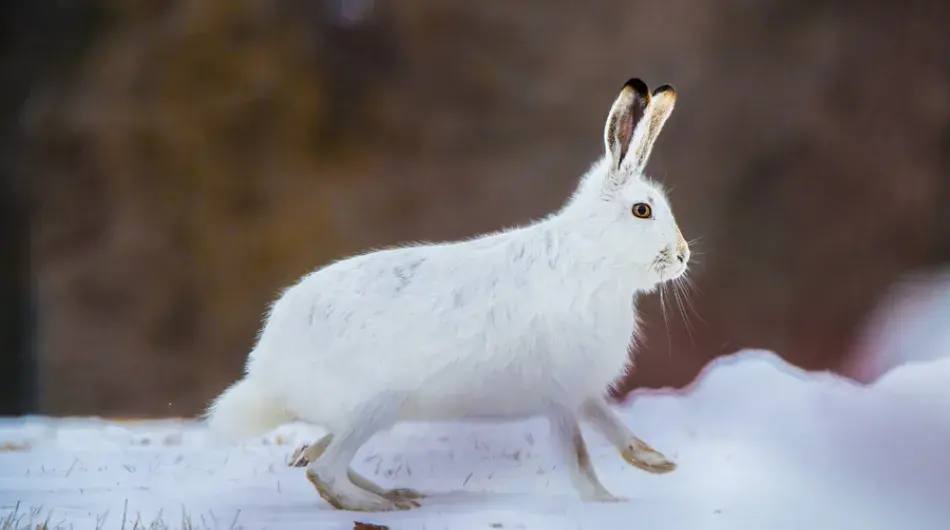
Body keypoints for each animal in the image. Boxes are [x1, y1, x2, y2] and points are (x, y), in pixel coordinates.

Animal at [205, 78, 690, 512]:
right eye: (642, 210)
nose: (683, 256)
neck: (594, 257)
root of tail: (267, 372)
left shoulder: (580, 393)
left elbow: (611, 425)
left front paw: (656, 463)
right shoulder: (560, 396)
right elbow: (579, 458)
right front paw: (608, 503)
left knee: (316, 455)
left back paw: (393, 493)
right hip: (375, 405)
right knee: (324, 470)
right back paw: (380, 506)